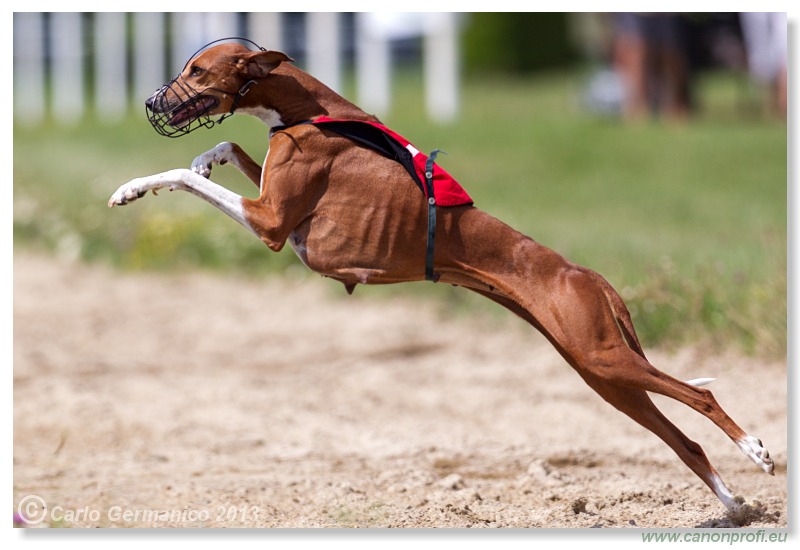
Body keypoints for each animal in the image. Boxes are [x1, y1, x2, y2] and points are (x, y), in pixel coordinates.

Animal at [109, 40, 772, 512]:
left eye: (197, 70)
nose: (150, 102)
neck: (311, 113)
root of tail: (585, 273)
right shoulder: (274, 204)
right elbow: (220, 153)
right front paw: (202, 158)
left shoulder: (271, 223)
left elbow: (182, 174)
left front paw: (131, 187)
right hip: (601, 373)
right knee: (682, 440)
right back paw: (733, 506)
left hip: (606, 360)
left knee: (701, 395)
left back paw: (758, 453)